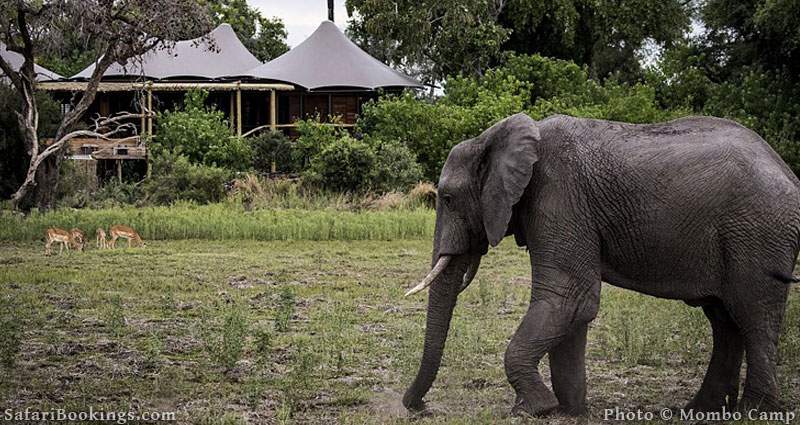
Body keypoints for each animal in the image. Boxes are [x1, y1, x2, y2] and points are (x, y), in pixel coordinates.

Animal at [406, 112, 800, 418]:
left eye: (447, 198)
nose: (419, 407)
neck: (494, 136)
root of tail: (787, 170)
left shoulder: (558, 195)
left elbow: (569, 297)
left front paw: (534, 409)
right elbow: (573, 308)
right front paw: (570, 411)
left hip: (758, 232)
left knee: (753, 314)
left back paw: (753, 411)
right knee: (724, 320)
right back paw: (698, 410)